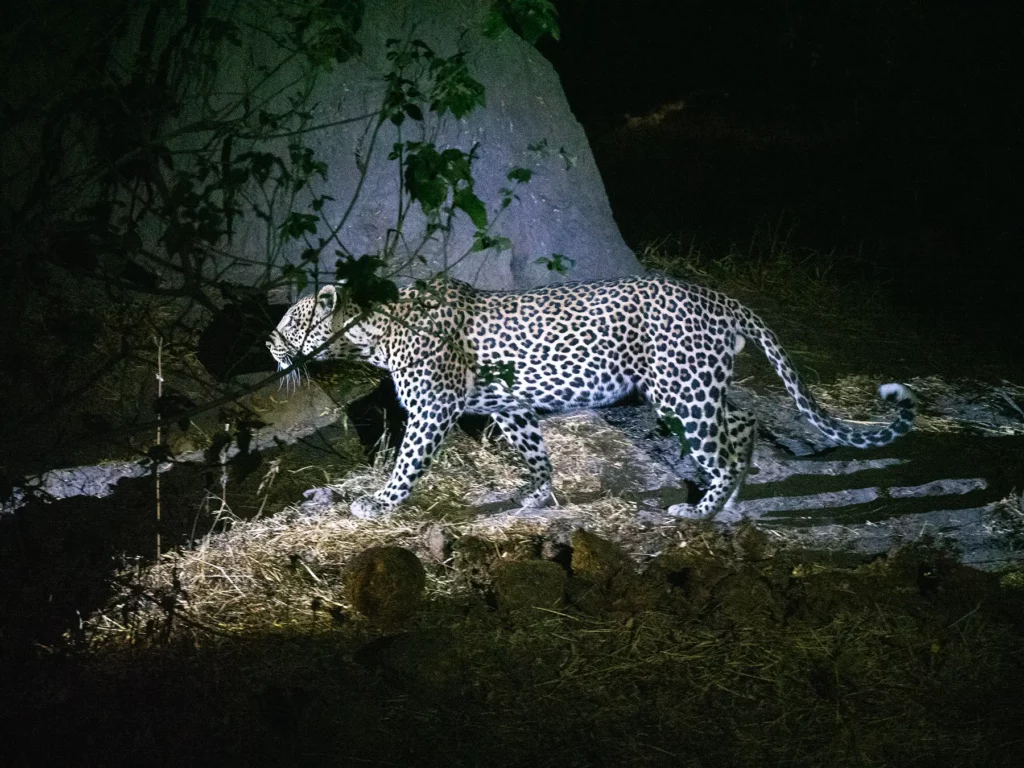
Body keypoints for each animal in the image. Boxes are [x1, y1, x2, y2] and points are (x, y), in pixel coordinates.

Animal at [266, 275, 917, 520]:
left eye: (292, 320)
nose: (268, 344)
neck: (375, 334)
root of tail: (720, 298)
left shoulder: (432, 409)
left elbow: (407, 462)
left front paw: (378, 504)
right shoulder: (514, 407)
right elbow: (534, 452)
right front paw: (537, 495)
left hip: (681, 394)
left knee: (721, 450)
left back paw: (701, 510)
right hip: (696, 386)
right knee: (744, 423)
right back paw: (731, 500)